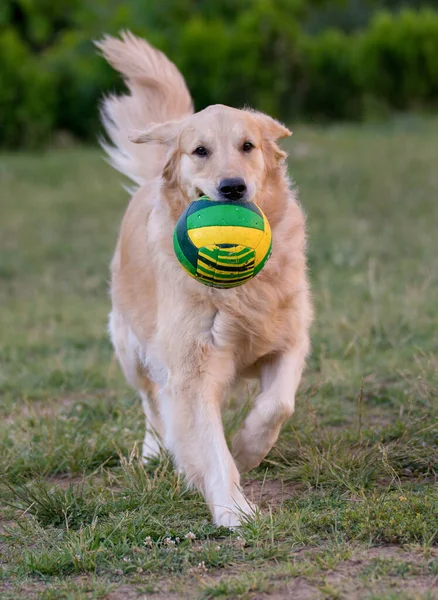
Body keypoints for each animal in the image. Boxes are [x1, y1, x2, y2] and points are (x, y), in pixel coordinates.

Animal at [98, 31, 314, 524]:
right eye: (200, 151)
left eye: (248, 146)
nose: (233, 187)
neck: (240, 290)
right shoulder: (190, 368)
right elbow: (209, 448)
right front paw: (234, 511)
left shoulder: (289, 336)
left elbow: (277, 405)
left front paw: (249, 448)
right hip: (131, 347)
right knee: (153, 403)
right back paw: (155, 452)